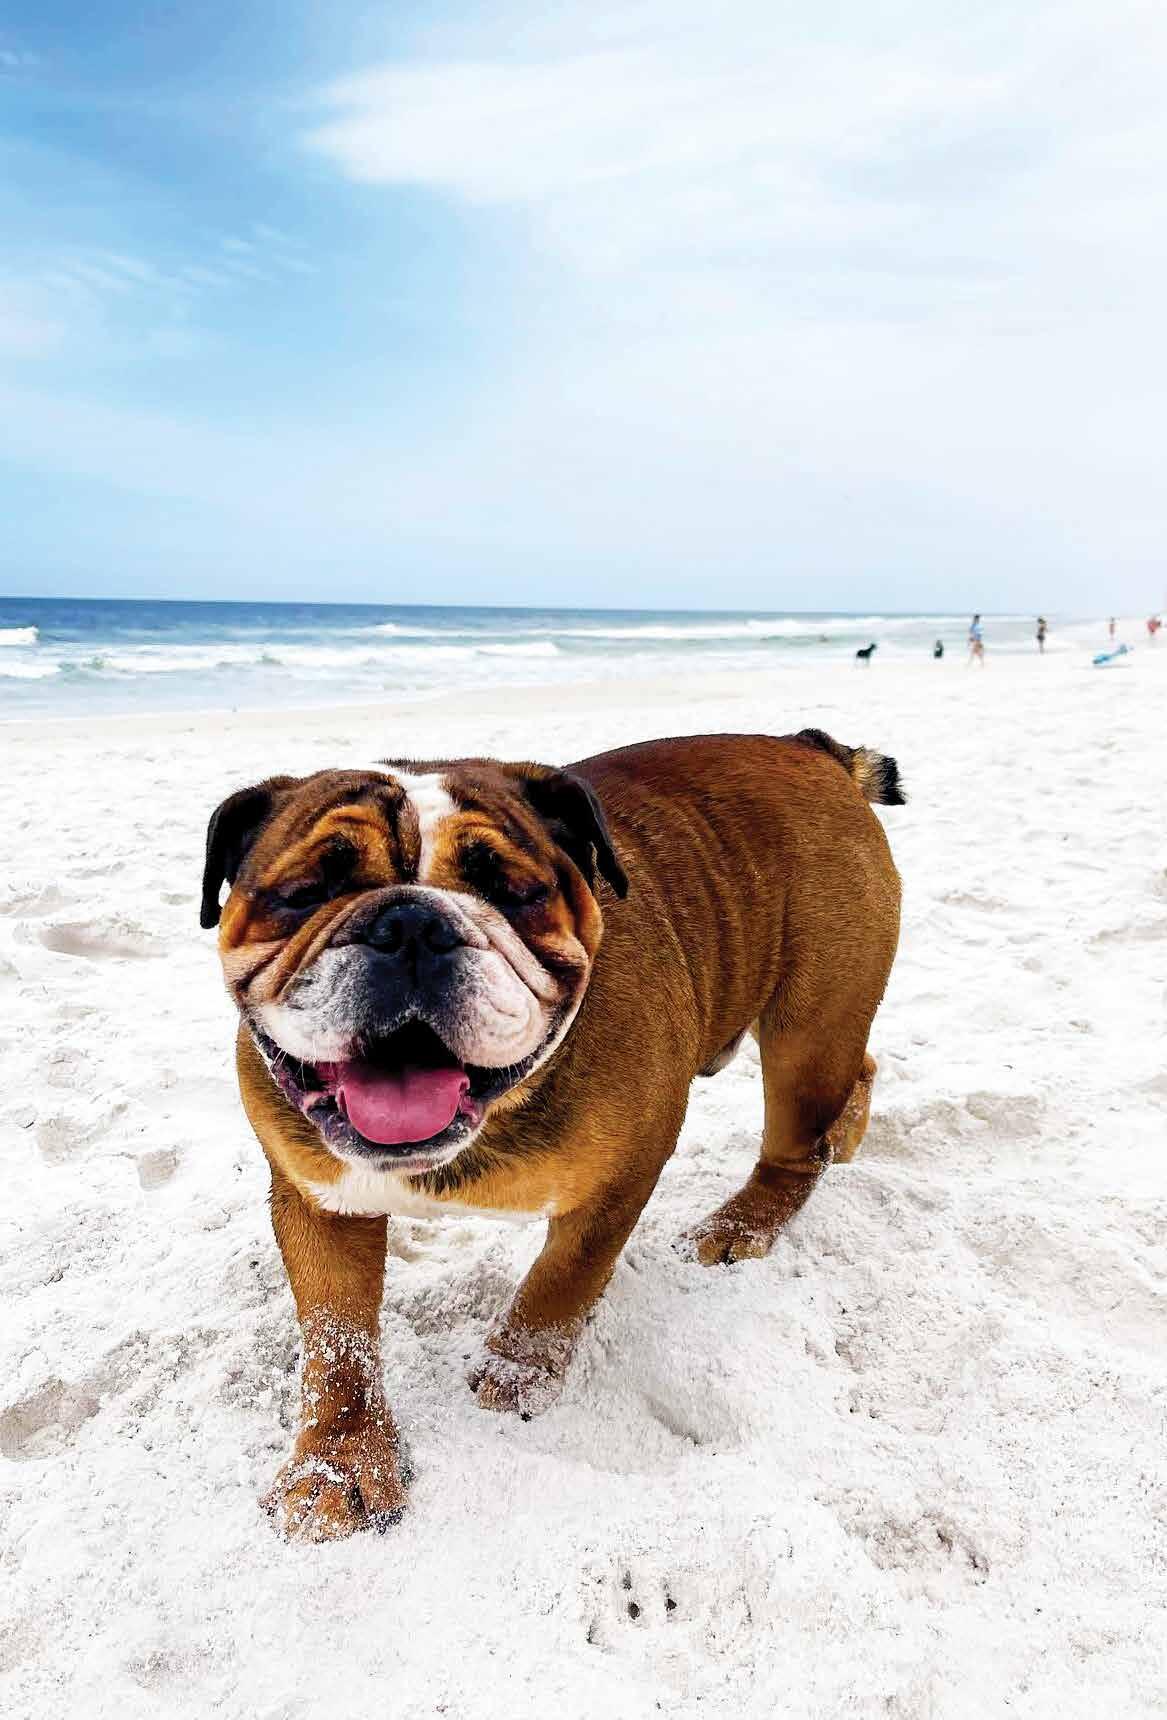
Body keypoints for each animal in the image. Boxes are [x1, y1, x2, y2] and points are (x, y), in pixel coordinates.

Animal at [201, 730, 903, 1541]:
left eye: (514, 891)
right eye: (305, 893)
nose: (409, 924)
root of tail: (811, 748)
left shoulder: (621, 1175)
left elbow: (563, 1278)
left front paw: (515, 1374)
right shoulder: (320, 1201)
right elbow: (336, 1340)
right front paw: (337, 1465)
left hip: (807, 1031)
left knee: (794, 1145)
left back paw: (740, 1224)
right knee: (859, 1074)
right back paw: (845, 1135)